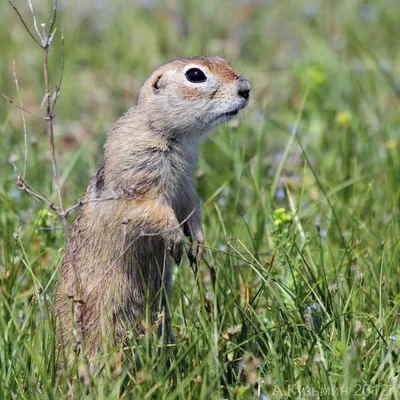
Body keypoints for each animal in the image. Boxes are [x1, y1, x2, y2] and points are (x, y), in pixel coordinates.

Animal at [55, 55, 250, 366]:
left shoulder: (185, 184)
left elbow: (192, 206)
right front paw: (176, 240)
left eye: (224, 60)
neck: (175, 137)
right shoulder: (139, 171)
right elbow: (147, 209)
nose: (246, 89)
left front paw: (198, 243)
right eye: (195, 75)